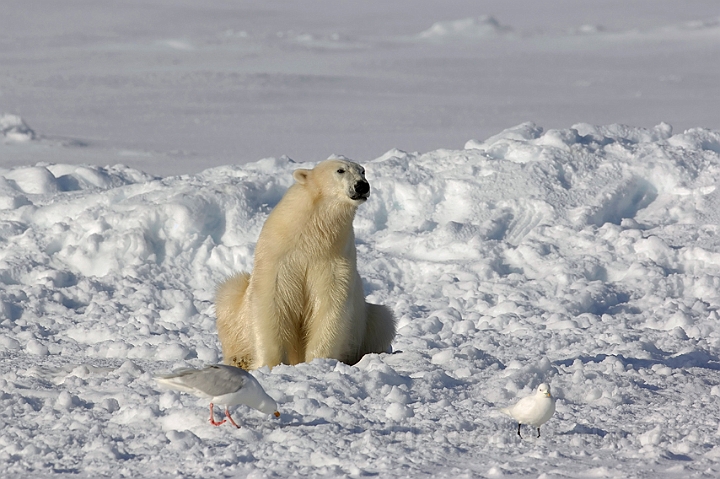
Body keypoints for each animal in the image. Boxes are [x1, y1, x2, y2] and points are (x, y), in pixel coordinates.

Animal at [217, 159, 396, 370]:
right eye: (340, 170)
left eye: (363, 171)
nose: (362, 186)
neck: (310, 238)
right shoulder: (279, 256)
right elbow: (272, 303)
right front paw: (270, 364)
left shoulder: (333, 260)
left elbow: (330, 304)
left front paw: (318, 361)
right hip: (236, 307)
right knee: (230, 296)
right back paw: (240, 359)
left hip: (367, 320)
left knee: (383, 320)